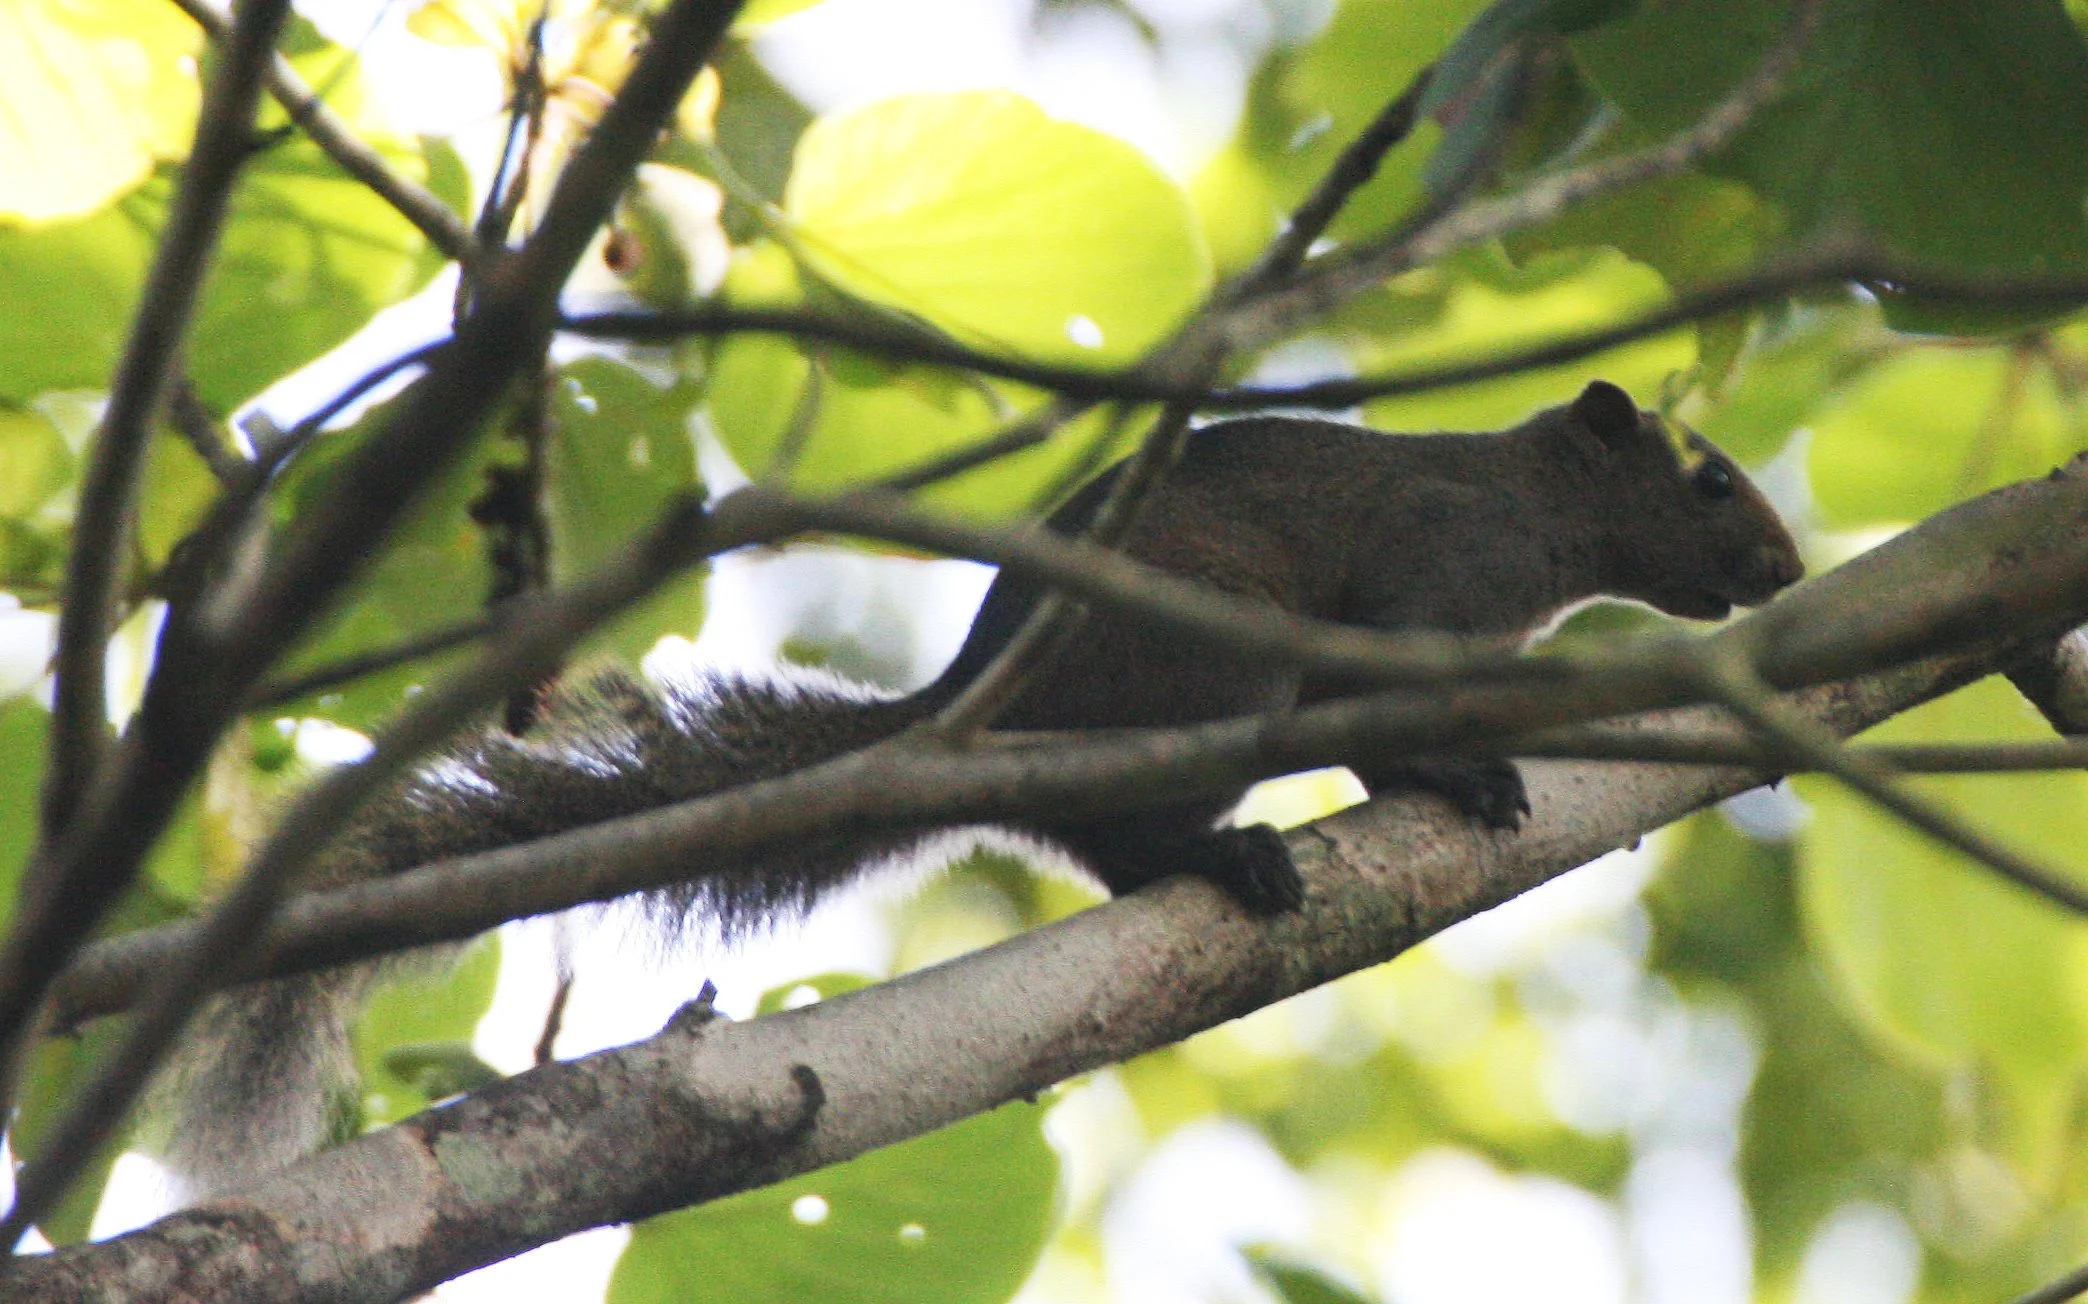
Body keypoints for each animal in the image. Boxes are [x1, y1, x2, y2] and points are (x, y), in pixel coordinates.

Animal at [158, 378, 1802, 1194]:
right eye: (1708, 478)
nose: (1787, 571)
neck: (1539, 517)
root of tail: (957, 716)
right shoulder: (1420, 581)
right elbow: (1379, 716)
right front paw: (1457, 772)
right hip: (1208, 671)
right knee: (1126, 831)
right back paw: (1233, 862)